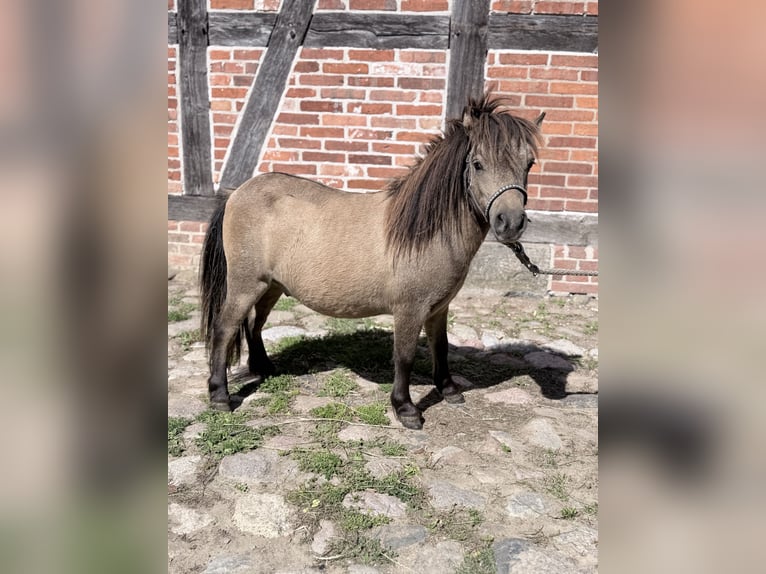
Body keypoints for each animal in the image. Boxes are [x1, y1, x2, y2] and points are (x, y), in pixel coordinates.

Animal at [199, 94, 545, 429]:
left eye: (529, 163)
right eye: (478, 164)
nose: (510, 223)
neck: (424, 232)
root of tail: (236, 192)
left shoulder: (439, 308)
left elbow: (440, 346)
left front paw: (448, 390)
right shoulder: (409, 309)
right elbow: (404, 356)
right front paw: (405, 409)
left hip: (271, 286)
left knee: (254, 325)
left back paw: (266, 368)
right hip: (246, 285)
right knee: (225, 329)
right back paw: (220, 396)